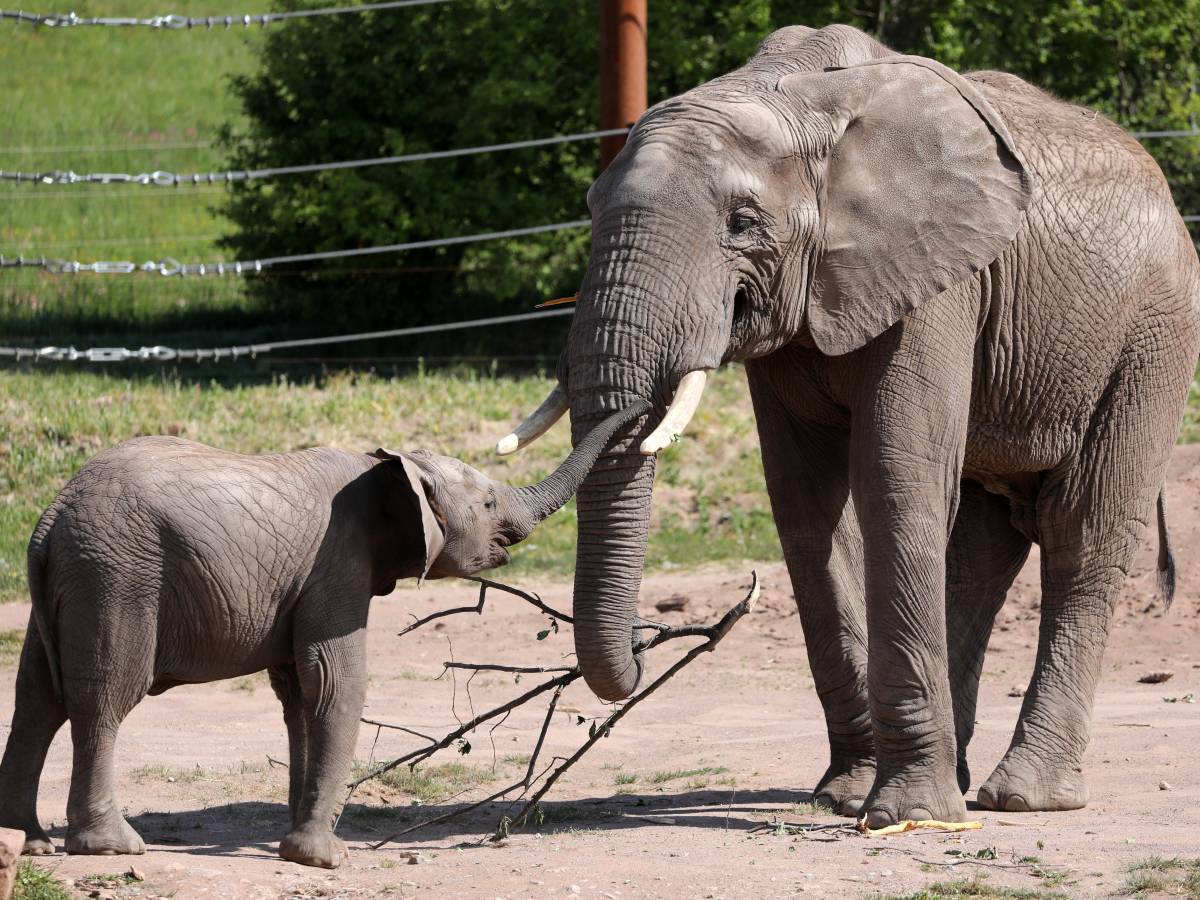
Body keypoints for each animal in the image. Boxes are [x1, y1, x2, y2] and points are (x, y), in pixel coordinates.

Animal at [0, 405, 648, 868]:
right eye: (489, 502)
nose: (641, 414)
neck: (388, 468)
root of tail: (48, 519)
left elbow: (298, 693)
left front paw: (296, 840)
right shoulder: (337, 562)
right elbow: (335, 680)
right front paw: (323, 859)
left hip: (77, 578)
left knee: (36, 700)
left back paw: (28, 841)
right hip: (117, 576)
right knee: (105, 699)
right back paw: (111, 847)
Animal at [496, 24, 1200, 830]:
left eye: (742, 223)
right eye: (589, 211)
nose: (648, 646)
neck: (793, 98)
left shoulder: (939, 280)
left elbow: (894, 480)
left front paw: (902, 814)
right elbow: (805, 505)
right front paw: (843, 796)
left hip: (1152, 339)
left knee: (1082, 532)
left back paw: (1020, 798)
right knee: (982, 549)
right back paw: (960, 777)